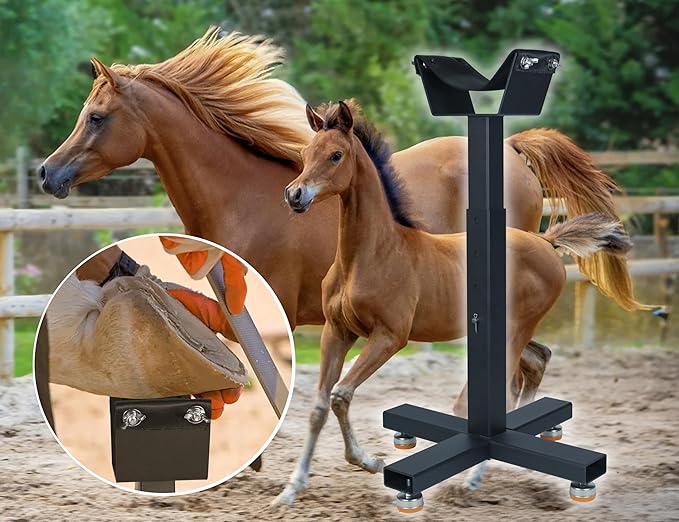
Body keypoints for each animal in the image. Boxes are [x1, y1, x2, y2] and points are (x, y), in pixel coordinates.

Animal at [277, 100, 634, 505]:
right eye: (305, 153)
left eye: (336, 155)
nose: (295, 195)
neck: (371, 253)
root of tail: (546, 241)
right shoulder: (337, 331)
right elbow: (320, 404)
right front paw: (291, 489)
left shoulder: (390, 337)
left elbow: (341, 394)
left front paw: (369, 461)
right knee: (533, 364)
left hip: (513, 330)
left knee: (502, 391)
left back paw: (476, 476)